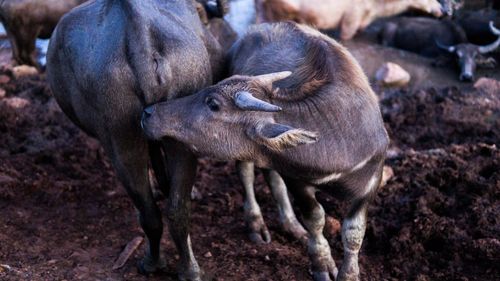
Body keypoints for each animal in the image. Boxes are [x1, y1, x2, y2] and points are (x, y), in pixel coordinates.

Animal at [46, 1, 232, 278]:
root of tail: (139, 33)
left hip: (119, 136)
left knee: (149, 209)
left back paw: (154, 262)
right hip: (175, 126)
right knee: (173, 210)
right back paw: (187, 269)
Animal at [142, 21, 390, 280]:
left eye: (213, 103)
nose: (148, 112)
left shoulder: (370, 186)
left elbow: (354, 232)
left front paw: (349, 273)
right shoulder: (296, 178)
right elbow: (315, 218)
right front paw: (322, 263)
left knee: (271, 177)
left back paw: (291, 224)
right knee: (247, 173)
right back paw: (256, 223)